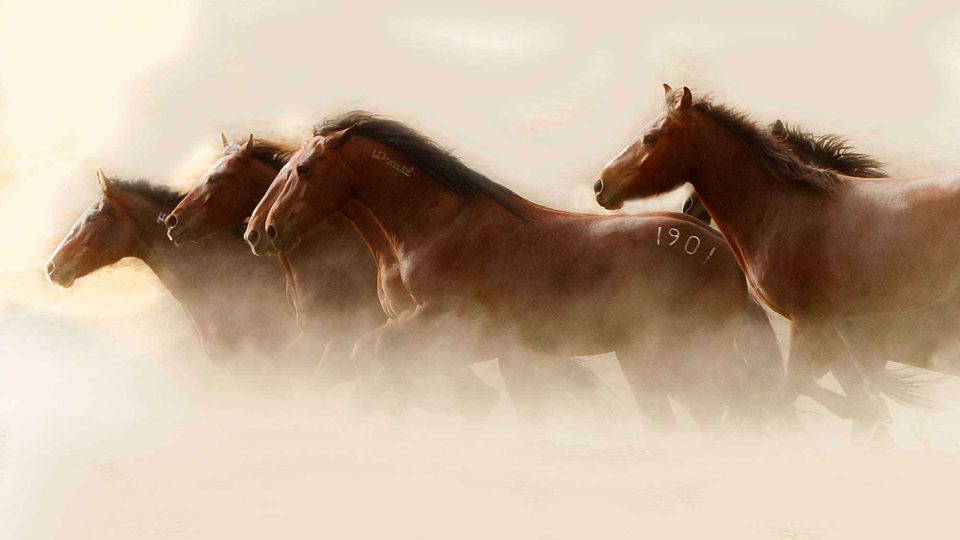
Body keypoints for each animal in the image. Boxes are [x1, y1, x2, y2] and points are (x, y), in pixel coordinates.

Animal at [254, 111, 794, 433]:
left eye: (302, 171)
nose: (267, 230)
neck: (432, 226)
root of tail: (726, 259)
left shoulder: (443, 323)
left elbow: (372, 352)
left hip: (678, 356)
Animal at [595, 85, 960, 440]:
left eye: (650, 138)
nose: (600, 185)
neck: (783, 210)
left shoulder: (811, 322)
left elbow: (791, 390)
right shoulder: (828, 331)